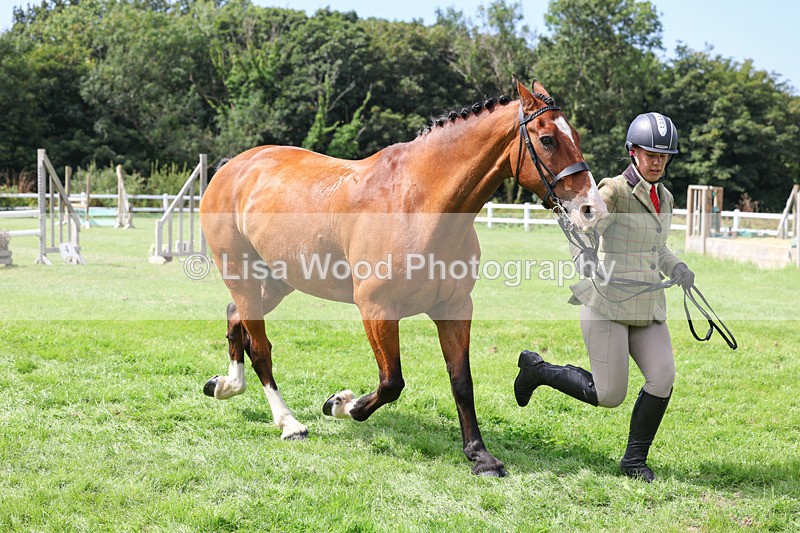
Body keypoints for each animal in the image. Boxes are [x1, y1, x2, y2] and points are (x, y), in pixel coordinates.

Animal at [199, 79, 606, 477]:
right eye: (547, 139)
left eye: (576, 136)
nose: (592, 209)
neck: (419, 204)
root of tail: (232, 168)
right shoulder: (377, 310)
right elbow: (391, 382)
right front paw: (341, 404)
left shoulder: (454, 309)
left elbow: (461, 381)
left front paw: (480, 456)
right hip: (243, 276)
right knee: (260, 348)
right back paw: (289, 423)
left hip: (277, 282)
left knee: (235, 316)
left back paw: (226, 385)